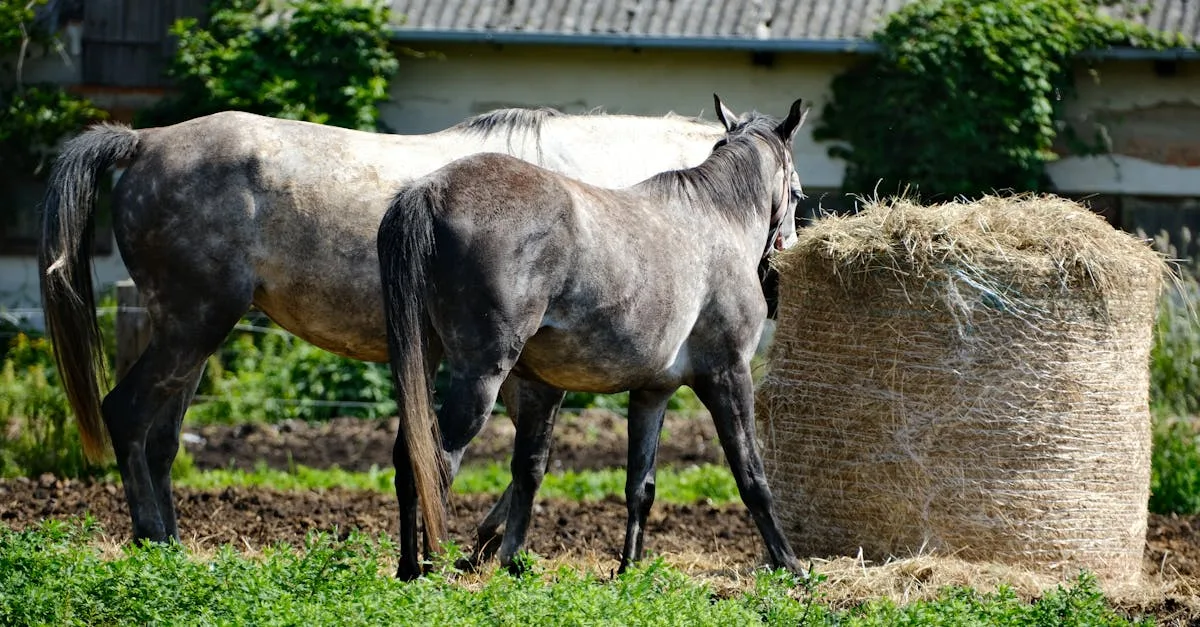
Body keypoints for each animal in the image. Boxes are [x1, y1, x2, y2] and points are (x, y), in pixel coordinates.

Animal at [38, 107, 727, 546]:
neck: (586, 203)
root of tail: (142, 141)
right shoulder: (513, 368)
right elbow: (518, 461)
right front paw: (482, 543)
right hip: (192, 327)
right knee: (127, 416)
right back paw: (150, 538)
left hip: (191, 336)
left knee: (161, 440)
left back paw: (174, 544)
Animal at [378, 94, 808, 579]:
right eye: (797, 194)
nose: (779, 268)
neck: (714, 220)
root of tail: (429, 189)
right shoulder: (729, 375)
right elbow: (751, 477)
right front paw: (791, 565)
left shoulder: (651, 393)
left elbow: (639, 484)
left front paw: (628, 568)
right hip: (480, 379)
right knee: (437, 462)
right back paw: (432, 567)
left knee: (410, 458)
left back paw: (410, 567)